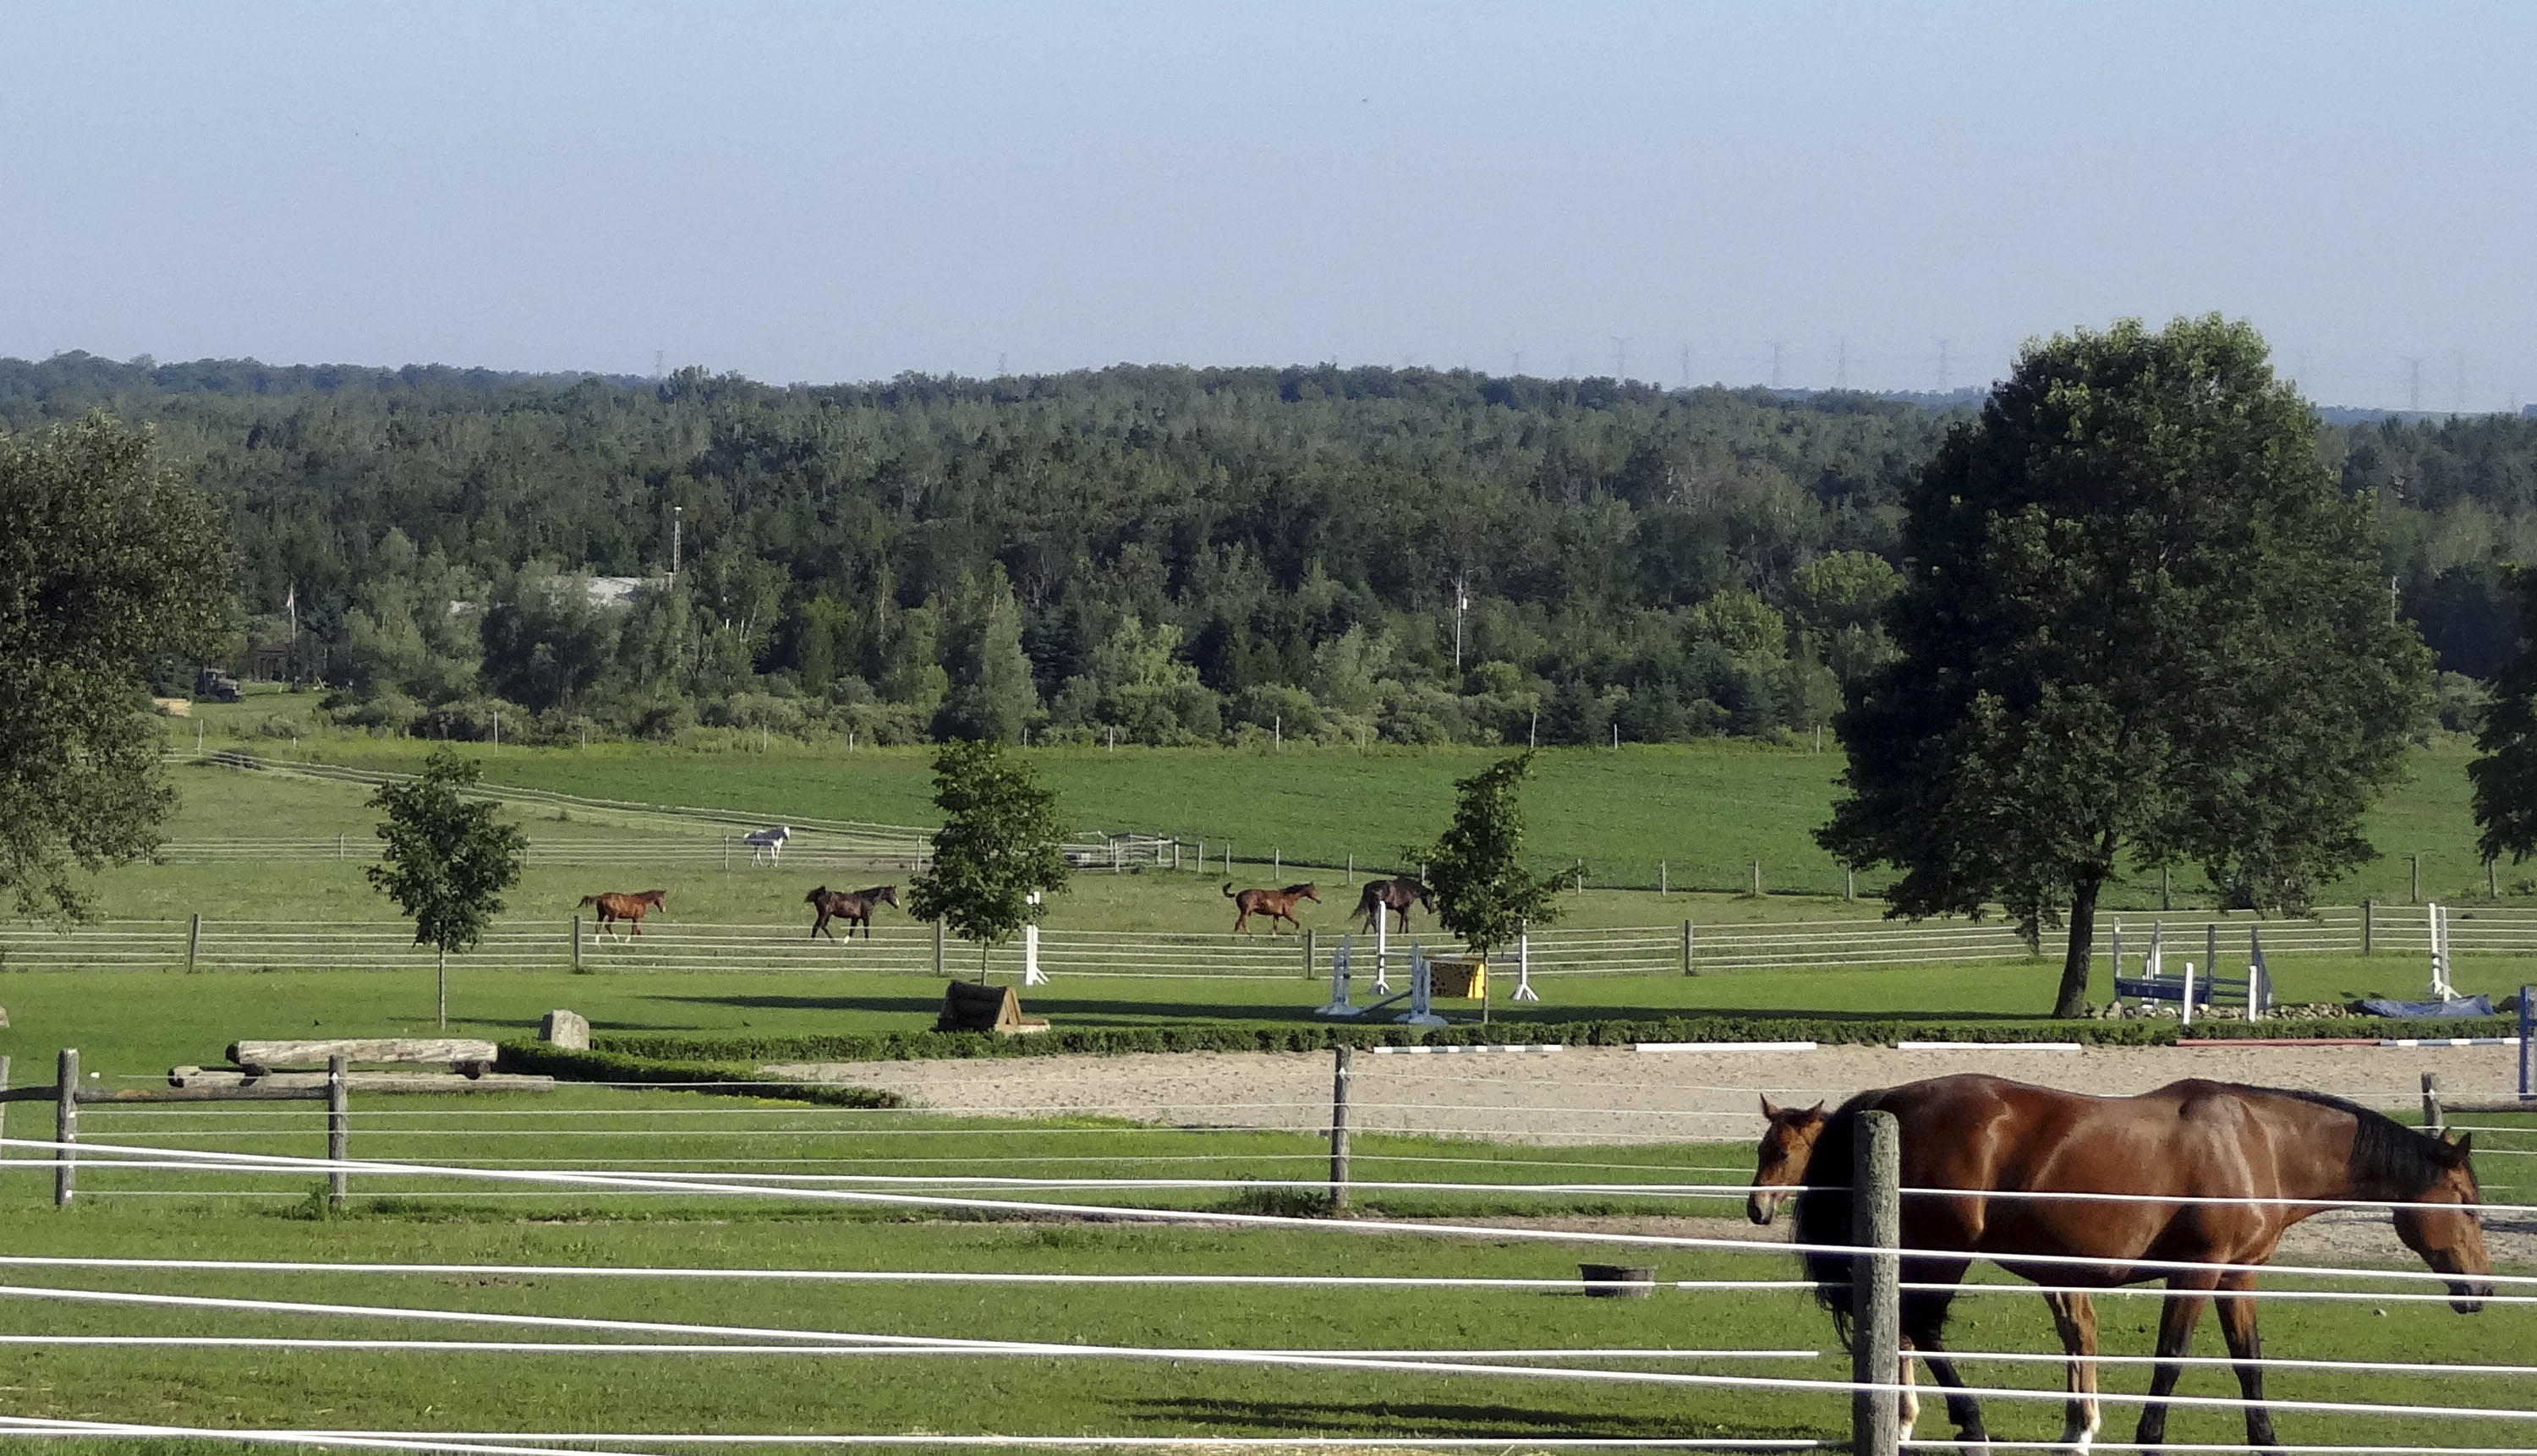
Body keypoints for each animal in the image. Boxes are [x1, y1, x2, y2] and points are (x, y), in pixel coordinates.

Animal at [1750, 1075, 2490, 1452]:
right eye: (2468, 1203)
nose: (2481, 1288)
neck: (2258, 1142)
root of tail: (1888, 1101)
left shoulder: (2238, 1277)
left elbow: (2249, 1364)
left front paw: (2267, 1440)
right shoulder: (2196, 1273)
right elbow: (2171, 1362)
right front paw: (2147, 1438)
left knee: (1906, 1326)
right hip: (1944, 1251)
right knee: (1922, 1327)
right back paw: (1970, 1424)